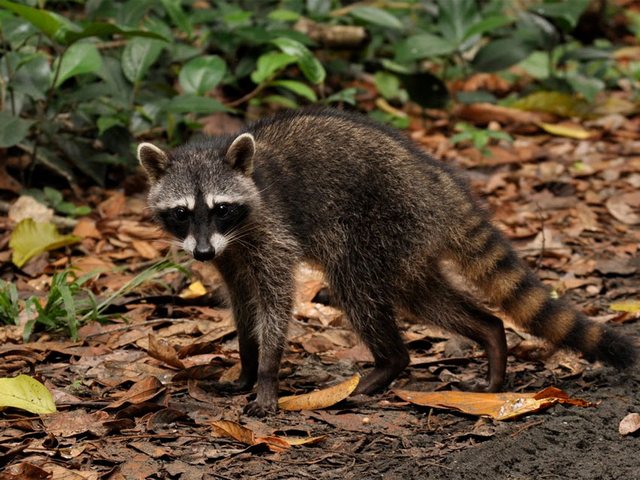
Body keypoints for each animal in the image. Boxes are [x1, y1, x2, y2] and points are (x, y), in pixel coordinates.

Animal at [138, 108, 636, 416]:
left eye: (221, 207)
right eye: (182, 213)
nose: (202, 253)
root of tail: (437, 182)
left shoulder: (269, 229)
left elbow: (276, 303)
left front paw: (267, 373)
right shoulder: (229, 252)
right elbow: (243, 305)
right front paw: (246, 363)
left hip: (382, 223)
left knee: (357, 289)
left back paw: (388, 364)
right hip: (407, 243)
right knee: (424, 294)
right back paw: (491, 336)